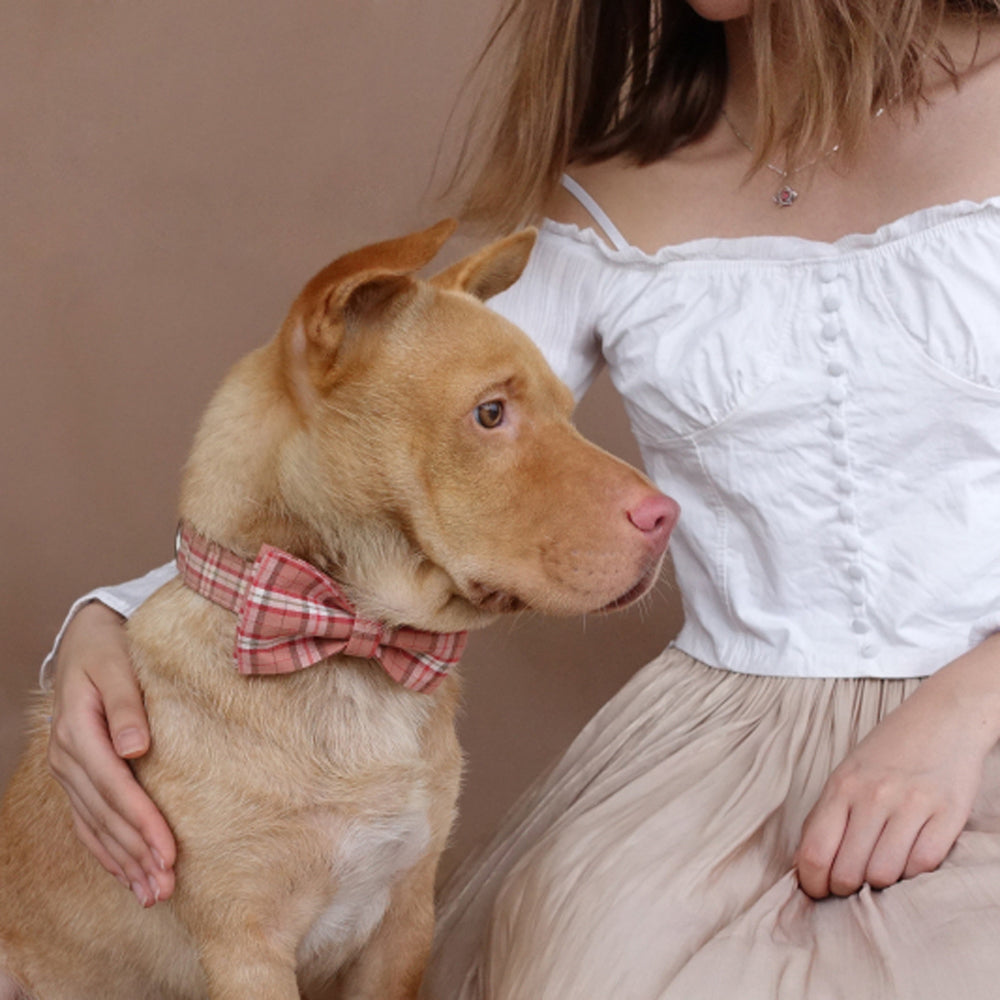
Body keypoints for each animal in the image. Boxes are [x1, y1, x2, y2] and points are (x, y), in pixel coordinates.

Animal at [0, 221, 680, 1000]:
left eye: (569, 412)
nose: (668, 516)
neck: (348, 648)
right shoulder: (247, 952)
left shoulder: (406, 919)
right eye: (490, 414)